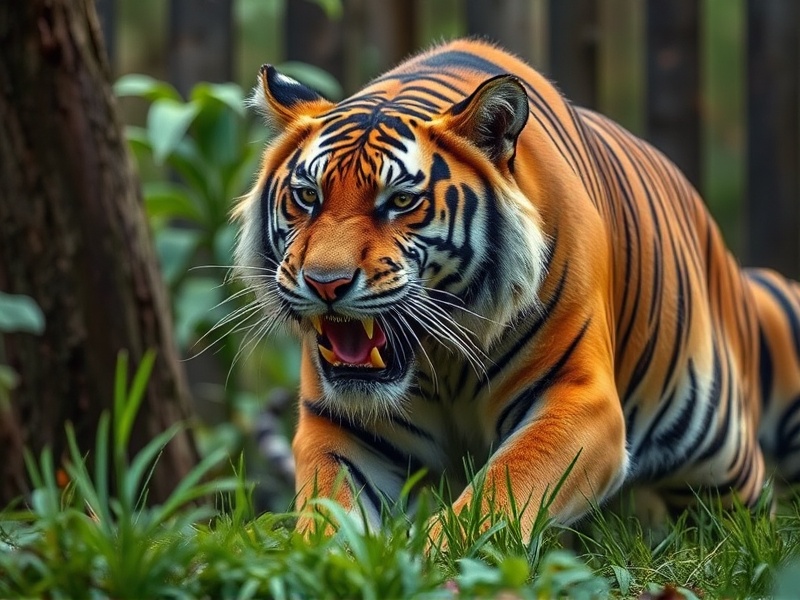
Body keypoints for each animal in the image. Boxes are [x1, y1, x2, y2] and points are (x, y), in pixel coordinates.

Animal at [234, 37, 800, 538]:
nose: (325, 283)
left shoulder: (580, 398)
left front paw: (441, 561)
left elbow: (503, 489)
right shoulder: (341, 423)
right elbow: (329, 516)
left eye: (399, 201)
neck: (442, 360)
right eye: (308, 196)